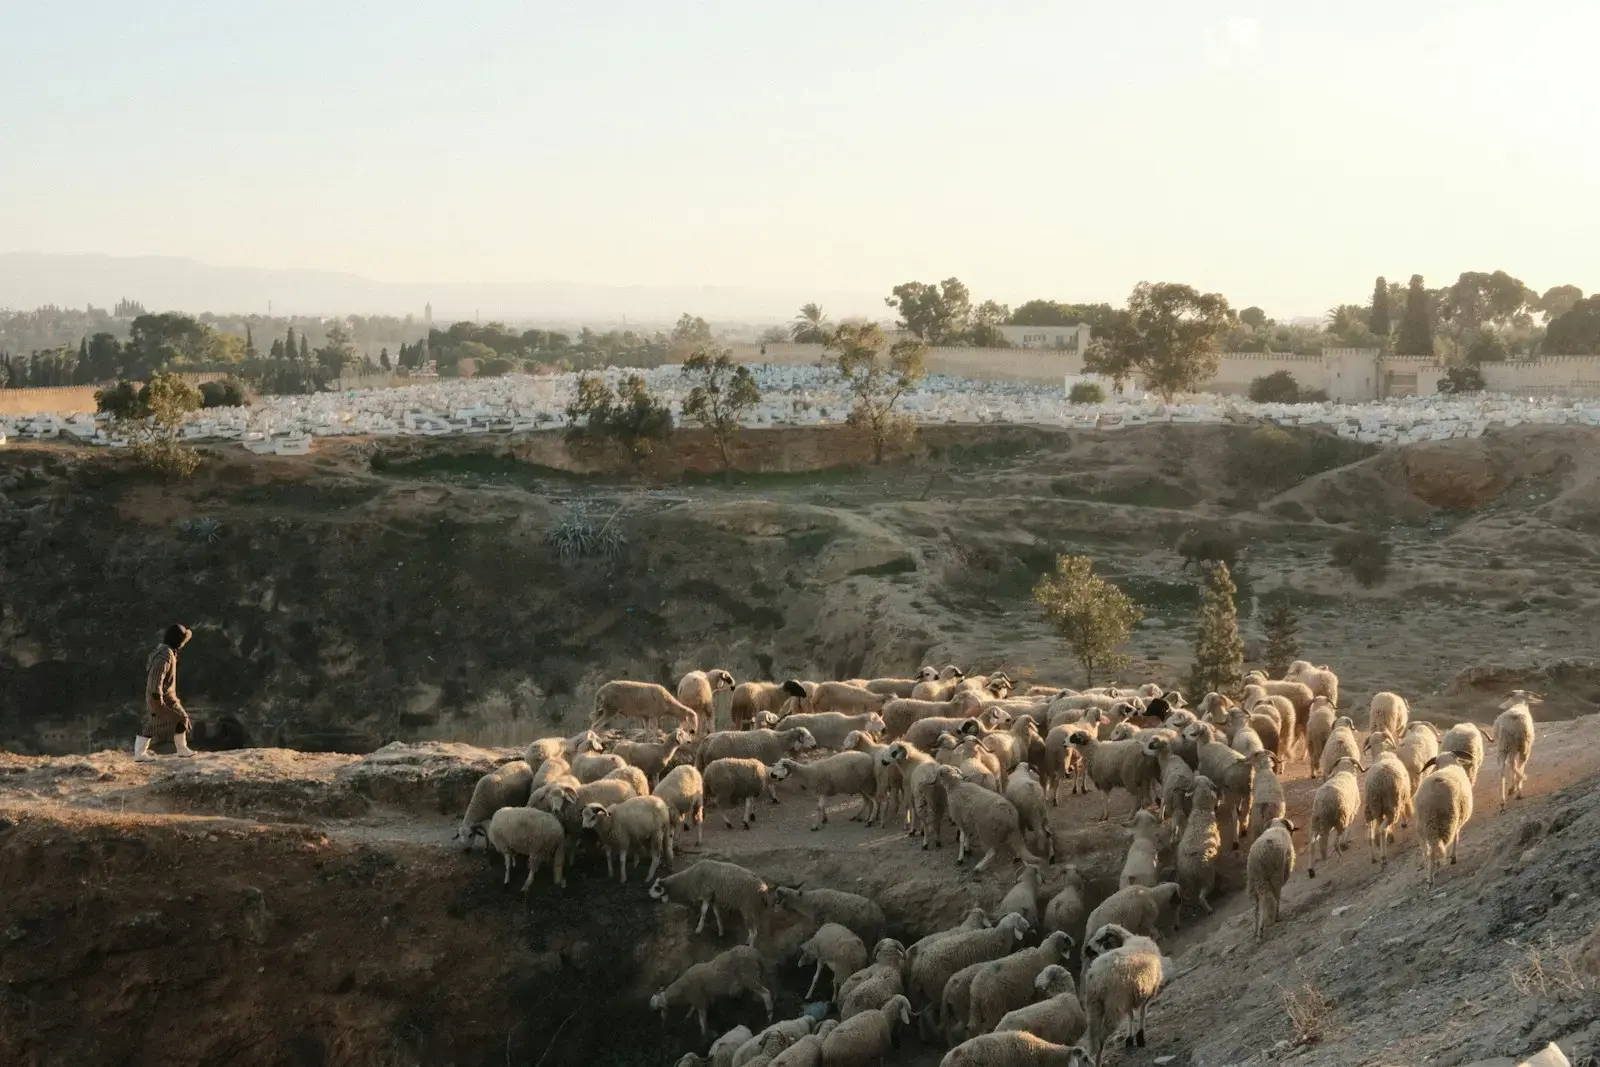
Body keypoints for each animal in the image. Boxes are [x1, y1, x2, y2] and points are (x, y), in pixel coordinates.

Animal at [1080, 932, 1166, 1065]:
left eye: (1100, 939)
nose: (1087, 950)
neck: (1129, 939)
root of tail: (1096, 976)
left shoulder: (1128, 998)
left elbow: (1131, 1015)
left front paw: (1130, 1039)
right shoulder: (1149, 991)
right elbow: (1142, 1011)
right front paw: (1140, 1036)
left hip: (1094, 1006)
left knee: (1093, 1037)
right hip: (1114, 1006)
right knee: (1100, 1038)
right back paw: (1098, 1061)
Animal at [1176, 774, 1223, 914]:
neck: (1202, 810)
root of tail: (1191, 867)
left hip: (1189, 880)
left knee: (1194, 895)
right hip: (1207, 876)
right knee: (1202, 896)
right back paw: (1209, 909)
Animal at [1414, 750, 1474, 889]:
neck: (1447, 763)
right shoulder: (1457, 823)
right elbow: (1456, 838)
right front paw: (1453, 858)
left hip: (1422, 829)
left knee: (1427, 853)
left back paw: (1430, 875)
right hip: (1446, 823)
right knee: (1436, 850)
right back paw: (1432, 878)